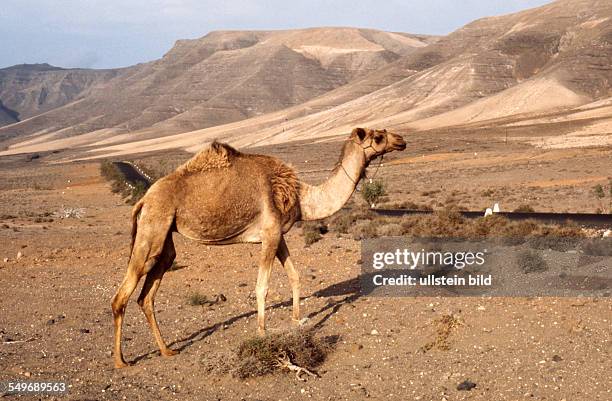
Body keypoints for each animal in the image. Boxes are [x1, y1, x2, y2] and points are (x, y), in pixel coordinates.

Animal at [110, 126, 406, 368]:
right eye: (378, 137)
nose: (401, 140)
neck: (300, 196)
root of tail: (144, 199)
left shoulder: (279, 234)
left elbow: (295, 276)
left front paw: (297, 320)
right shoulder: (270, 233)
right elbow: (262, 287)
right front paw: (263, 332)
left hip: (165, 238)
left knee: (147, 295)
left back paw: (166, 351)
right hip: (153, 226)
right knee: (122, 296)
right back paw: (121, 361)